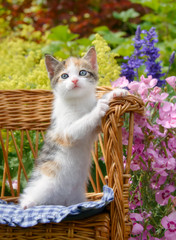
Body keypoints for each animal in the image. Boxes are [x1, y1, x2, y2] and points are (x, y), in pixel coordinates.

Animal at [18, 46, 128, 208]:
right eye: (64, 76)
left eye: (82, 72)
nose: (74, 80)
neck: (78, 101)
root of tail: (60, 202)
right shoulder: (66, 132)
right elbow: (81, 123)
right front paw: (99, 108)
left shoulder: (93, 130)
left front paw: (115, 92)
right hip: (43, 185)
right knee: (29, 198)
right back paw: (28, 204)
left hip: (76, 195)